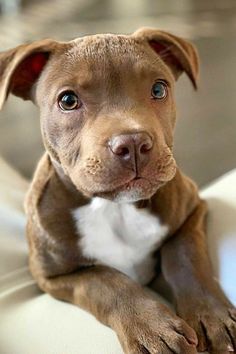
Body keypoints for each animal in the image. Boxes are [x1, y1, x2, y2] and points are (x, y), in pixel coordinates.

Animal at [0, 28, 236, 354]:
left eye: (159, 89)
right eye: (68, 100)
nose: (134, 143)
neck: (114, 208)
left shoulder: (193, 210)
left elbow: (185, 256)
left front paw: (211, 317)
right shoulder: (53, 276)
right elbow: (106, 282)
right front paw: (153, 330)